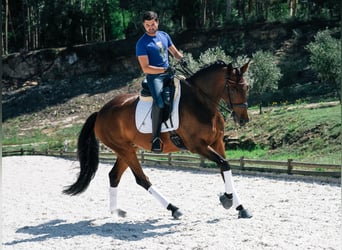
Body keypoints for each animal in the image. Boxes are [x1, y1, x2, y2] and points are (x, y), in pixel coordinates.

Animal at [63, 60, 251, 219]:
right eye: (233, 89)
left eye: (247, 87)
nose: (243, 119)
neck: (201, 102)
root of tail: (100, 112)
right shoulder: (198, 146)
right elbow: (224, 164)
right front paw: (227, 199)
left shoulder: (217, 143)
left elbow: (224, 168)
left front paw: (240, 207)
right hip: (125, 150)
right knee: (142, 179)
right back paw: (173, 208)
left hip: (127, 149)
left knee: (114, 176)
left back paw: (115, 211)